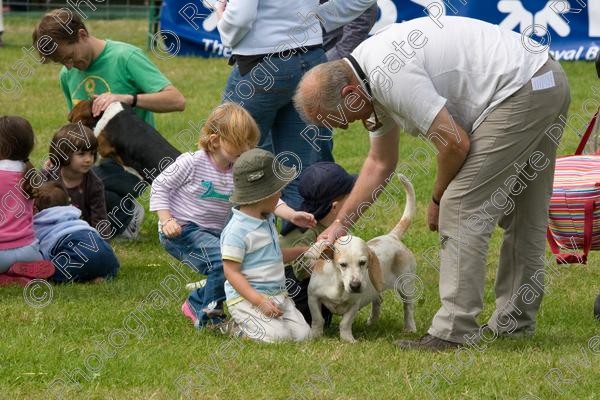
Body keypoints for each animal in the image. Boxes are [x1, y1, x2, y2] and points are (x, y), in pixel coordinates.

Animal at [310, 173, 418, 342]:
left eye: (363, 263)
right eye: (342, 265)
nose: (355, 285)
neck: (339, 285)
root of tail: (392, 236)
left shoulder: (354, 304)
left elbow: (345, 323)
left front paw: (348, 340)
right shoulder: (313, 297)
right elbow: (317, 319)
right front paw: (314, 335)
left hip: (406, 286)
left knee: (408, 307)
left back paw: (410, 328)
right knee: (378, 301)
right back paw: (372, 322)